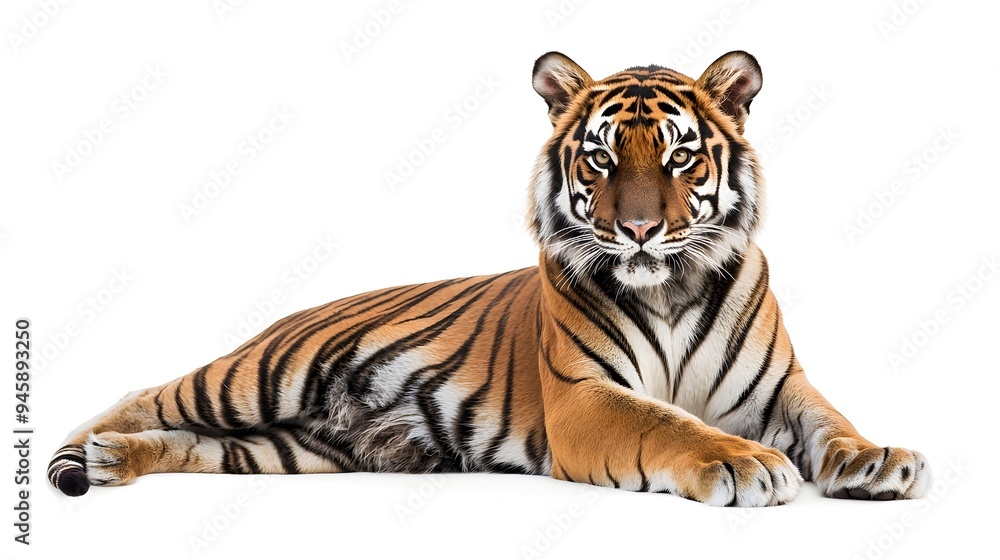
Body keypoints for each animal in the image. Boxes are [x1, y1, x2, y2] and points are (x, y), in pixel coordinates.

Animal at [49, 51, 929, 506]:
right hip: (255, 376)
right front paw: (744, 464)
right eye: (602, 157)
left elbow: (831, 420)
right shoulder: (585, 397)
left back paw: (116, 461)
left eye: (681, 156)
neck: (669, 283)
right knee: (146, 392)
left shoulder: (781, 386)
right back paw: (84, 453)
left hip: (293, 448)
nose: (640, 230)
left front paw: (879, 460)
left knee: (199, 447)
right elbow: (670, 422)